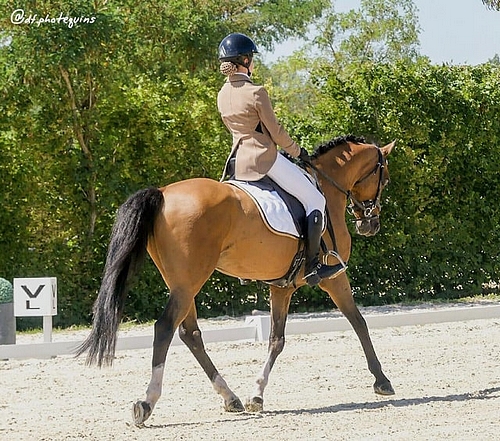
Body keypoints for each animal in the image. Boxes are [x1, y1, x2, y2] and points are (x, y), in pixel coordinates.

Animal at [75, 134, 394, 422]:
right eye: (385, 179)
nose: (371, 224)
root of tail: (163, 192)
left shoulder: (282, 286)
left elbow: (276, 340)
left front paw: (257, 395)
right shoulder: (333, 277)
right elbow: (358, 322)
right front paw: (382, 381)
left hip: (181, 282)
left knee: (190, 334)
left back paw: (231, 398)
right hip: (190, 280)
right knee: (165, 328)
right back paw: (147, 402)